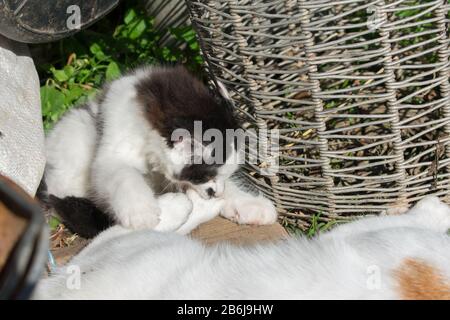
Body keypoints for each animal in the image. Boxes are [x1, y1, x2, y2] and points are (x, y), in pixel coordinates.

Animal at [44, 66, 278, 236]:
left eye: (221, 175)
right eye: (203, 176)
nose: (216, 193)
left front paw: (247, 202)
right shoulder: (112, 149)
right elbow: (122, 174)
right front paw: (140, 210)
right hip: (74, 138)